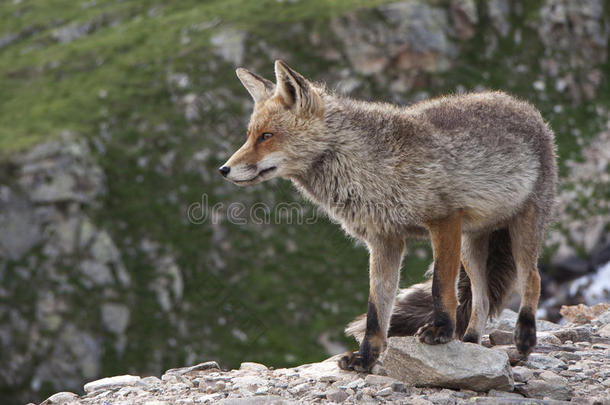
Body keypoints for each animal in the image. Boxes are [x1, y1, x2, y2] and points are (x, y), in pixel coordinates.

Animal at [218, 58, 556, 370]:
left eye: (267, 136)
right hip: (471, 246)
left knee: (533, 278)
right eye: (249, 135)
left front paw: (440, 331)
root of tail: (524, 106)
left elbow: (440, 286)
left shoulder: (443, 219)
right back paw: (471, 341)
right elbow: (377, 307)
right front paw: (366, 357)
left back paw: (524, 339)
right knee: (481, 297)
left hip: (521, 230)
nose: (223, 169)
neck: (371, 166)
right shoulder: (384, 239)